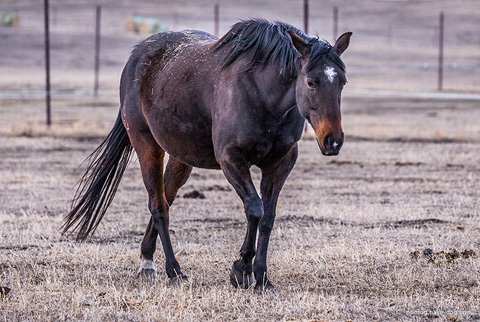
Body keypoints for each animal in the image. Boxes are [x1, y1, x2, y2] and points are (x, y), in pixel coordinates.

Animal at [62, 19, 350, 292]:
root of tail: (138, 56)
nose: (333, 140)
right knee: (158, 206)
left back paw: (147, 260)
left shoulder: (281, 163)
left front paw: (262, 278)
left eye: (342, 82)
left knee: (166, 198)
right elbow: (254, 209)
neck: (262, 93)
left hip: (180, 157)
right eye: (310, 82)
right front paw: (241, 270)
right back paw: (173, 271)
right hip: (146, 144)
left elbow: (268, 218)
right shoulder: (231, 159)